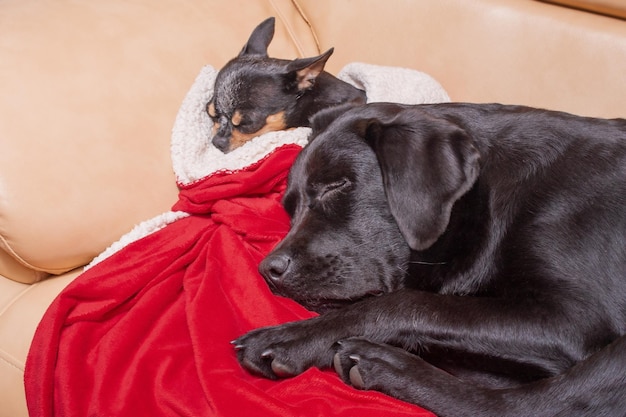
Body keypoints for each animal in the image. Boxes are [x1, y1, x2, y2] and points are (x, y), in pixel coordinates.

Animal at [234, 101, 624, 416]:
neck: (489, 197)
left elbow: (408, 303)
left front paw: (291, 338)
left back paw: (384, 364)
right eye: (288, 208)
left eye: (336, 186)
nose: (268, 270)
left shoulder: (572, 320)